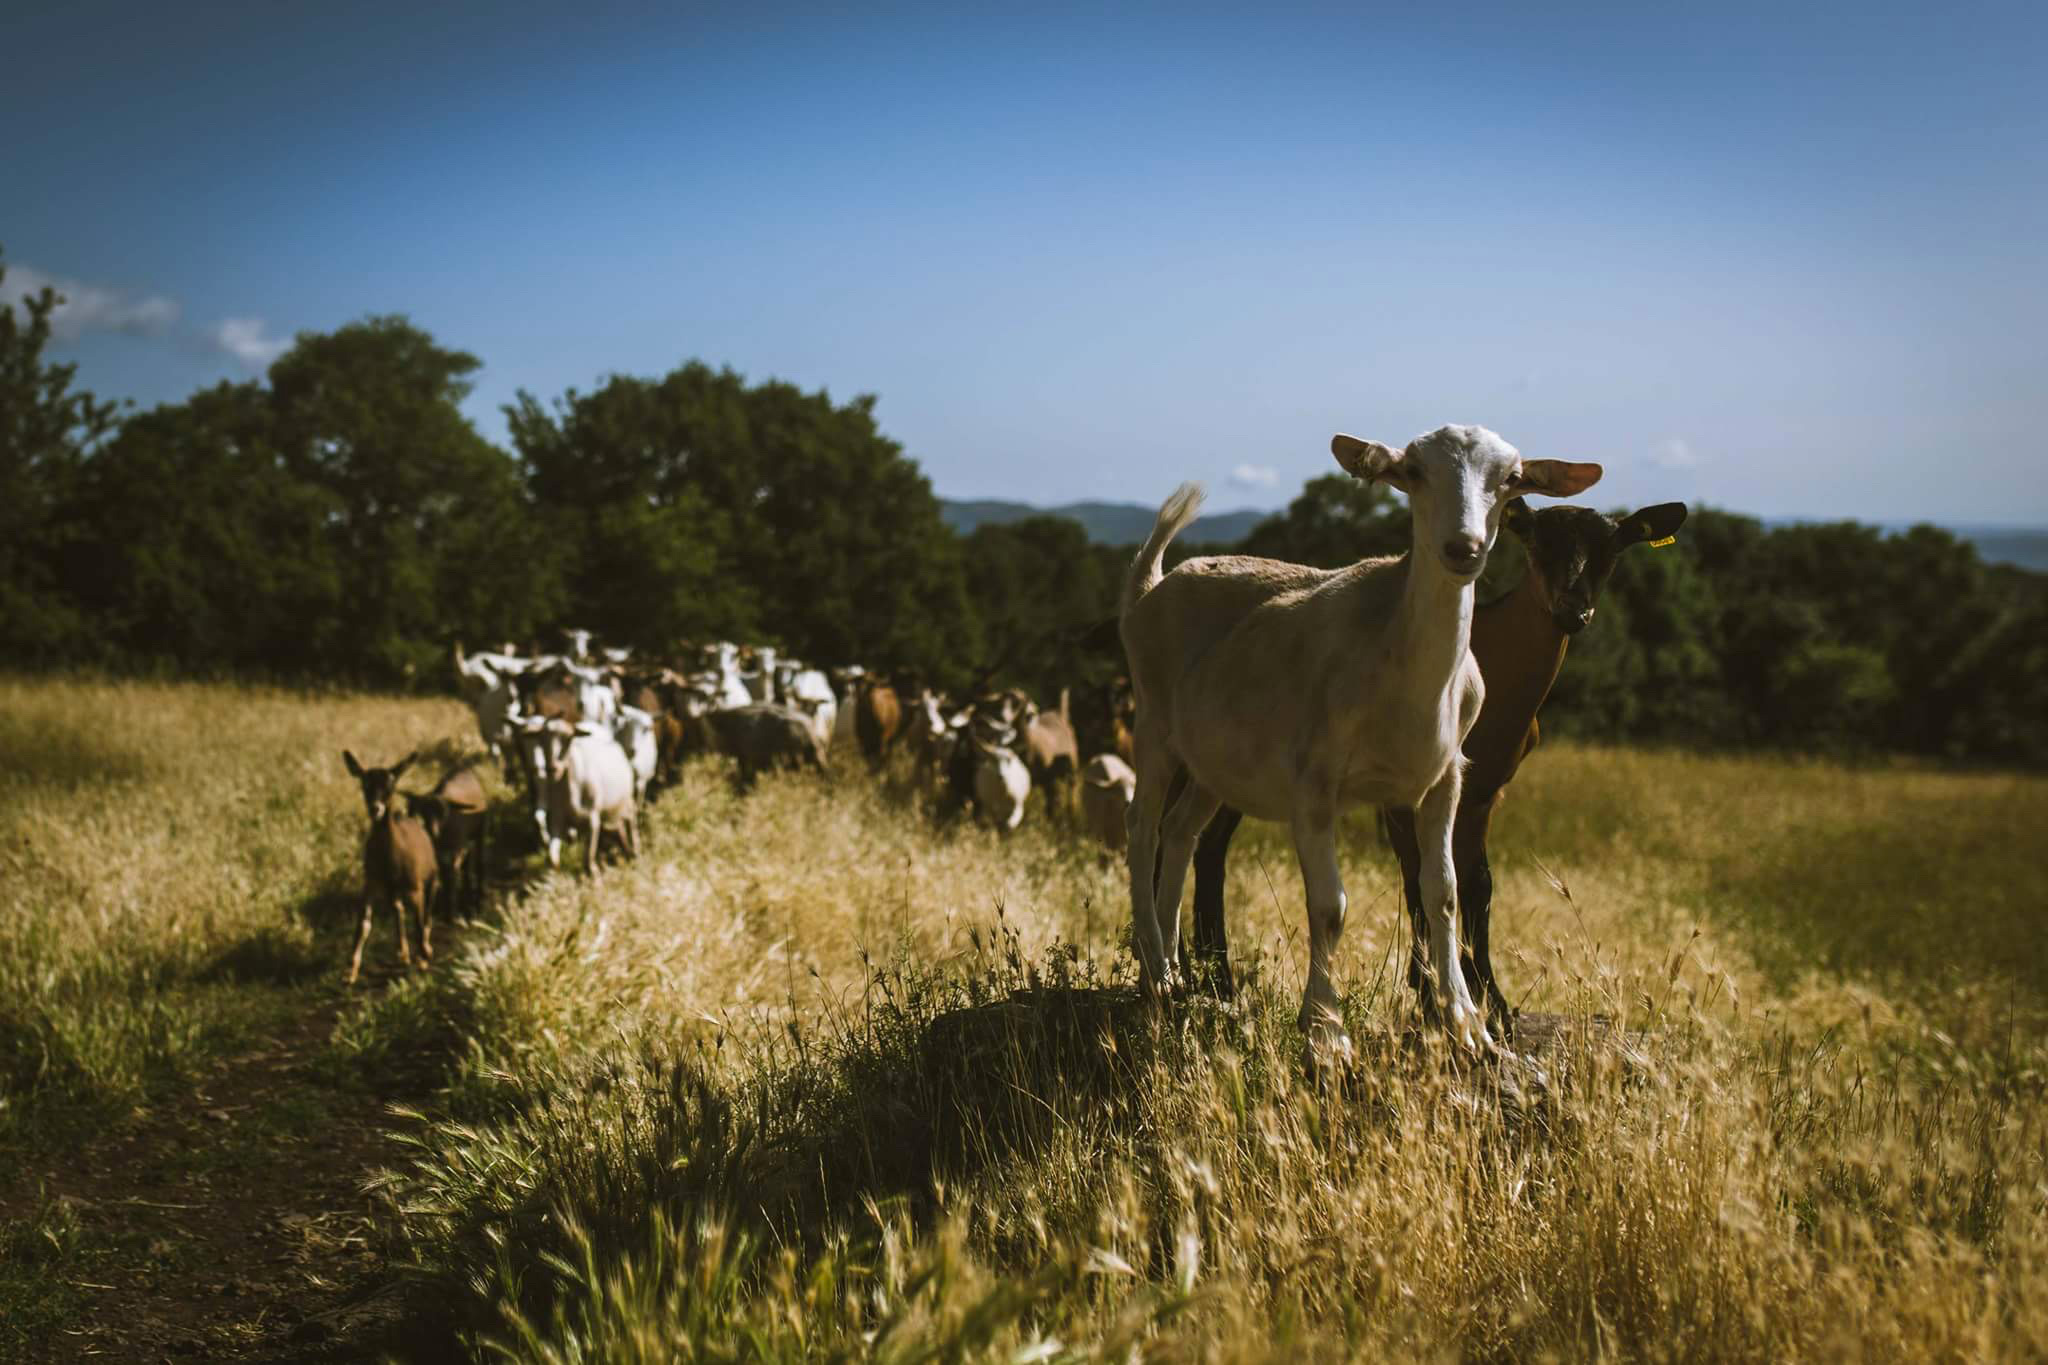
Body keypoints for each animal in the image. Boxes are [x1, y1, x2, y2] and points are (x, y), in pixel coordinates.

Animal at [339, 753, 440, 986]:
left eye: (390, 786)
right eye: (365, 785)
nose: (376, 808)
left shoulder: (415, 887)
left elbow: (419, 921)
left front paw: (423, 957)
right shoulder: (371, 882)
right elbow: (363, 923)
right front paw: (350, 971)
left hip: (431, 877)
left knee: (427, 912)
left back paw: (424, 949)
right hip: (391, 889)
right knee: (398, 908)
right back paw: (403, 953)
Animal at [1122, 423, 1597, 1055]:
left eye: (1512, 479)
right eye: (1413, 472)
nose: (1463, 548)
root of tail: (1153, 585)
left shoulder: (1447, 777)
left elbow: (1442, 891)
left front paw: (1466, 1021)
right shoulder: (1314, 781)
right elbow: (1330, 907)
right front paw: (1327, 1029)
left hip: (1214, 761)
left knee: (1180, 832)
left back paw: (1177, 973)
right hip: (1153, 725)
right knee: (1142, 829)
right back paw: (1152, 964)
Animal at [1179, 497, 1687, 1019]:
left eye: (1612, 551)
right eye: (1537, 542)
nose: (1573, 610)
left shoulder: (1485, 791)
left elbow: (1477, 882)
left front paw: (1490, 997)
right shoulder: (1401, 792)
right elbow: (1416, 878)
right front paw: (1428, 993)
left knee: (1205, 843)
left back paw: (1207, 973)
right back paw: (1201, 976)